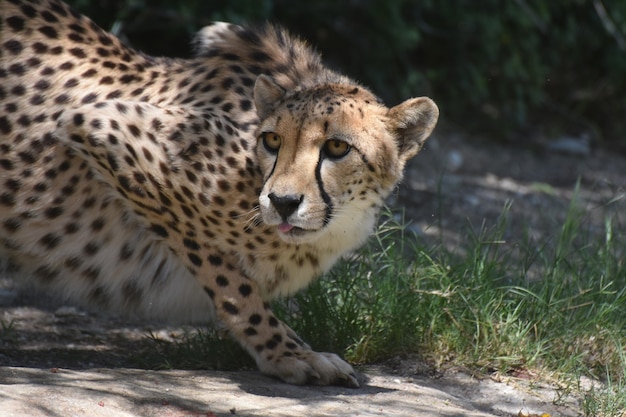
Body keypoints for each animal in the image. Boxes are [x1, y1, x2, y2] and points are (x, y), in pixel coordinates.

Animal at [0, 0, 438, 386]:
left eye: (336, 147)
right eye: (273, 140)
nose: (282, 204)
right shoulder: (101, 127)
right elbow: (231, 282)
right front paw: (289, 354)